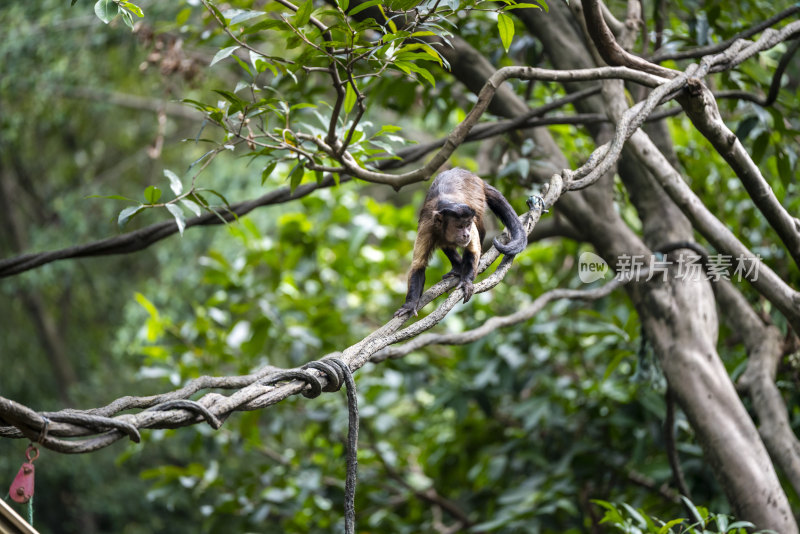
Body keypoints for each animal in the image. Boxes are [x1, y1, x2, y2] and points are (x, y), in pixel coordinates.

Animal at [392, 169, 524, 318]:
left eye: (467, 225)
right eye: (459, 226)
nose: (466, 234)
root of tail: (473, 176)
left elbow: (473, 250)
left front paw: (466, 282)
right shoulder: (427, 228)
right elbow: (418, 265)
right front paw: (410, 304)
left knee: (480, 227)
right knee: (445, 244)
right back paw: (457, 267)